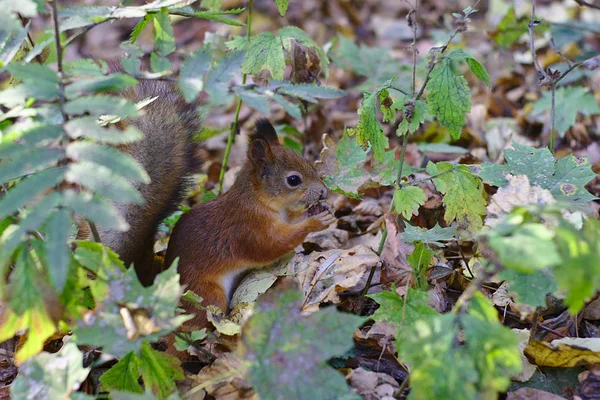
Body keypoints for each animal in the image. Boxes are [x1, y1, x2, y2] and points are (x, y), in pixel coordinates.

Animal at [78, 79, 338, 356]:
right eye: (293, 180)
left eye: (308, 163)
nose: (324, 191)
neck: (259, 201)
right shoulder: (246, 228)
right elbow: (272, 246)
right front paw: (314, 223)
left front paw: (315, 211)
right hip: (207, 295)